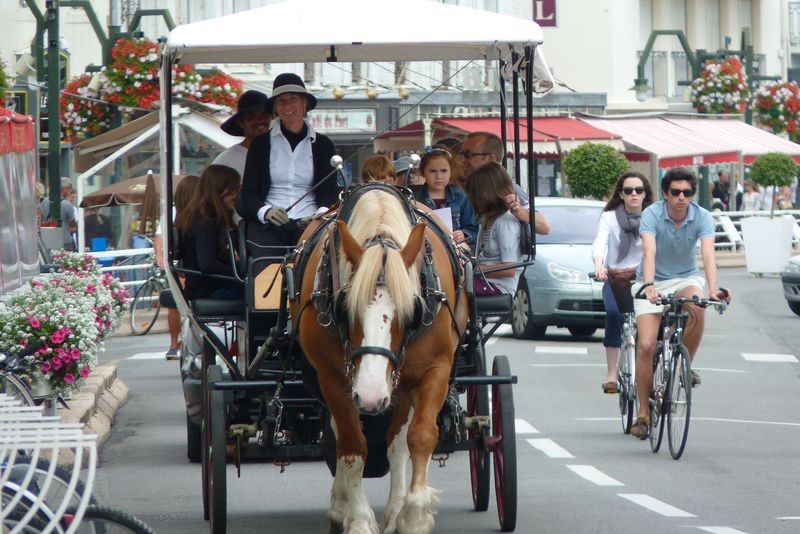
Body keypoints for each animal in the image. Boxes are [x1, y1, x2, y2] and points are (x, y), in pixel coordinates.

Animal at [292, 189, 468, 534]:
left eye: (412, 310)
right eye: (345, 309)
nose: (372, 396)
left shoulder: (435, 369)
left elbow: (420, 436)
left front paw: (413, 515)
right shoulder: (333, 377)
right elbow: (352, 445)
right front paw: (358, 517)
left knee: (397, 443)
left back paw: (395, 509)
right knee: (341, 433)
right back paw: (341, 506)